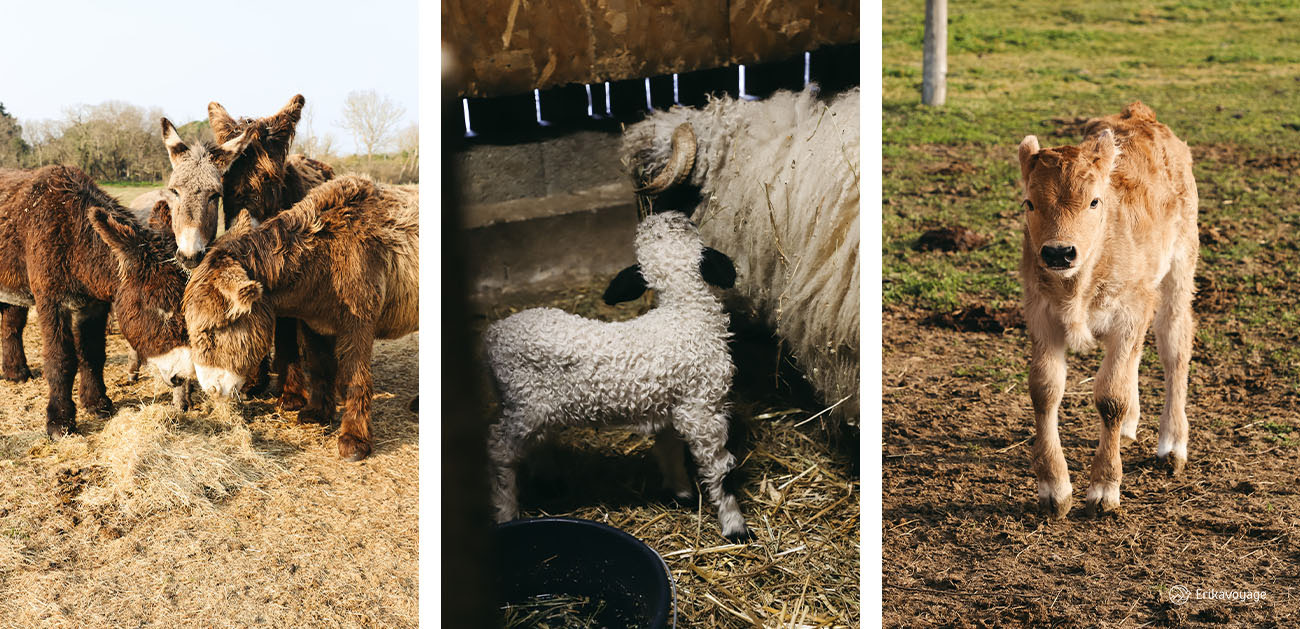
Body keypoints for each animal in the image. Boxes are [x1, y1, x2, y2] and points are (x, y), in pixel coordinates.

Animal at [486, 211, 754, 540]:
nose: (672, 213)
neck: (684, 312)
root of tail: (493, 335)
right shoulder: (702, 410)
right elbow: (719, 469)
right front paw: (735, 525)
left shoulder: (670, 406)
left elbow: (670, 449)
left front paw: (681, 493)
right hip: (525, 403)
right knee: (499, 451)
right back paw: (506, 511)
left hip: (525, 406)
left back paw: (549, 482)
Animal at [1013, 102, 1196, 517]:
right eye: (1029, 202)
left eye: (1095, 201)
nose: (1059, 252)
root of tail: (1140, 115)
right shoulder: (1040, 315)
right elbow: (1045, 389)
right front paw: (1054, 489)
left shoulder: (1128, 312)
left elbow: (1110, 396)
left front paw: (1103, 490)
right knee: (1137, 356)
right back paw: (1129, 428)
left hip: (1179, 268)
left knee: (1174, 345)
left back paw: (1172, 445)